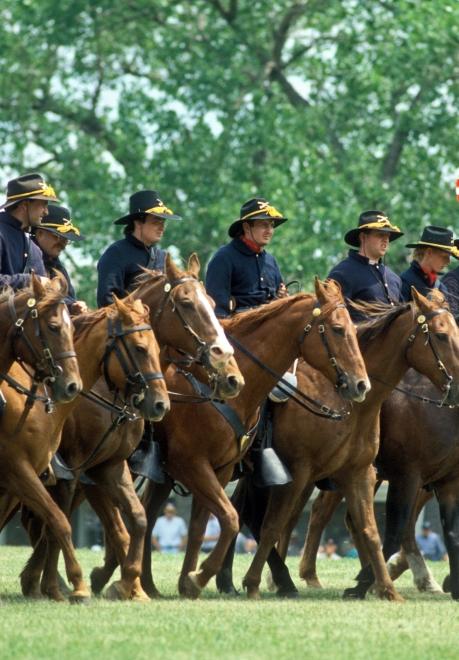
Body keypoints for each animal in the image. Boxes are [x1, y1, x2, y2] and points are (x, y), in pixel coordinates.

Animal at [0, 296, 169, 600]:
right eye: (139, 348)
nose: (161, 404)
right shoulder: (68, 475)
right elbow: (57, 524)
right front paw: (62, 586)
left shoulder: (107, 468)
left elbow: (137, 519)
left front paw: (128, 584)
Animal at [88, 276, 372, 600]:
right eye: (337, 329)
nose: (361, 385)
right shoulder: (195, 466)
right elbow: (235, 519)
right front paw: (202, 578)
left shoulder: (222, 470)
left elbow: (208, 525)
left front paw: (190, 580)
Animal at [217, 286, 459, 600]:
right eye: (441, 335)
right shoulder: (405, 475)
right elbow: (395, 531)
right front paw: (368, 582)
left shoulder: (430, 480)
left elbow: (422, 531)